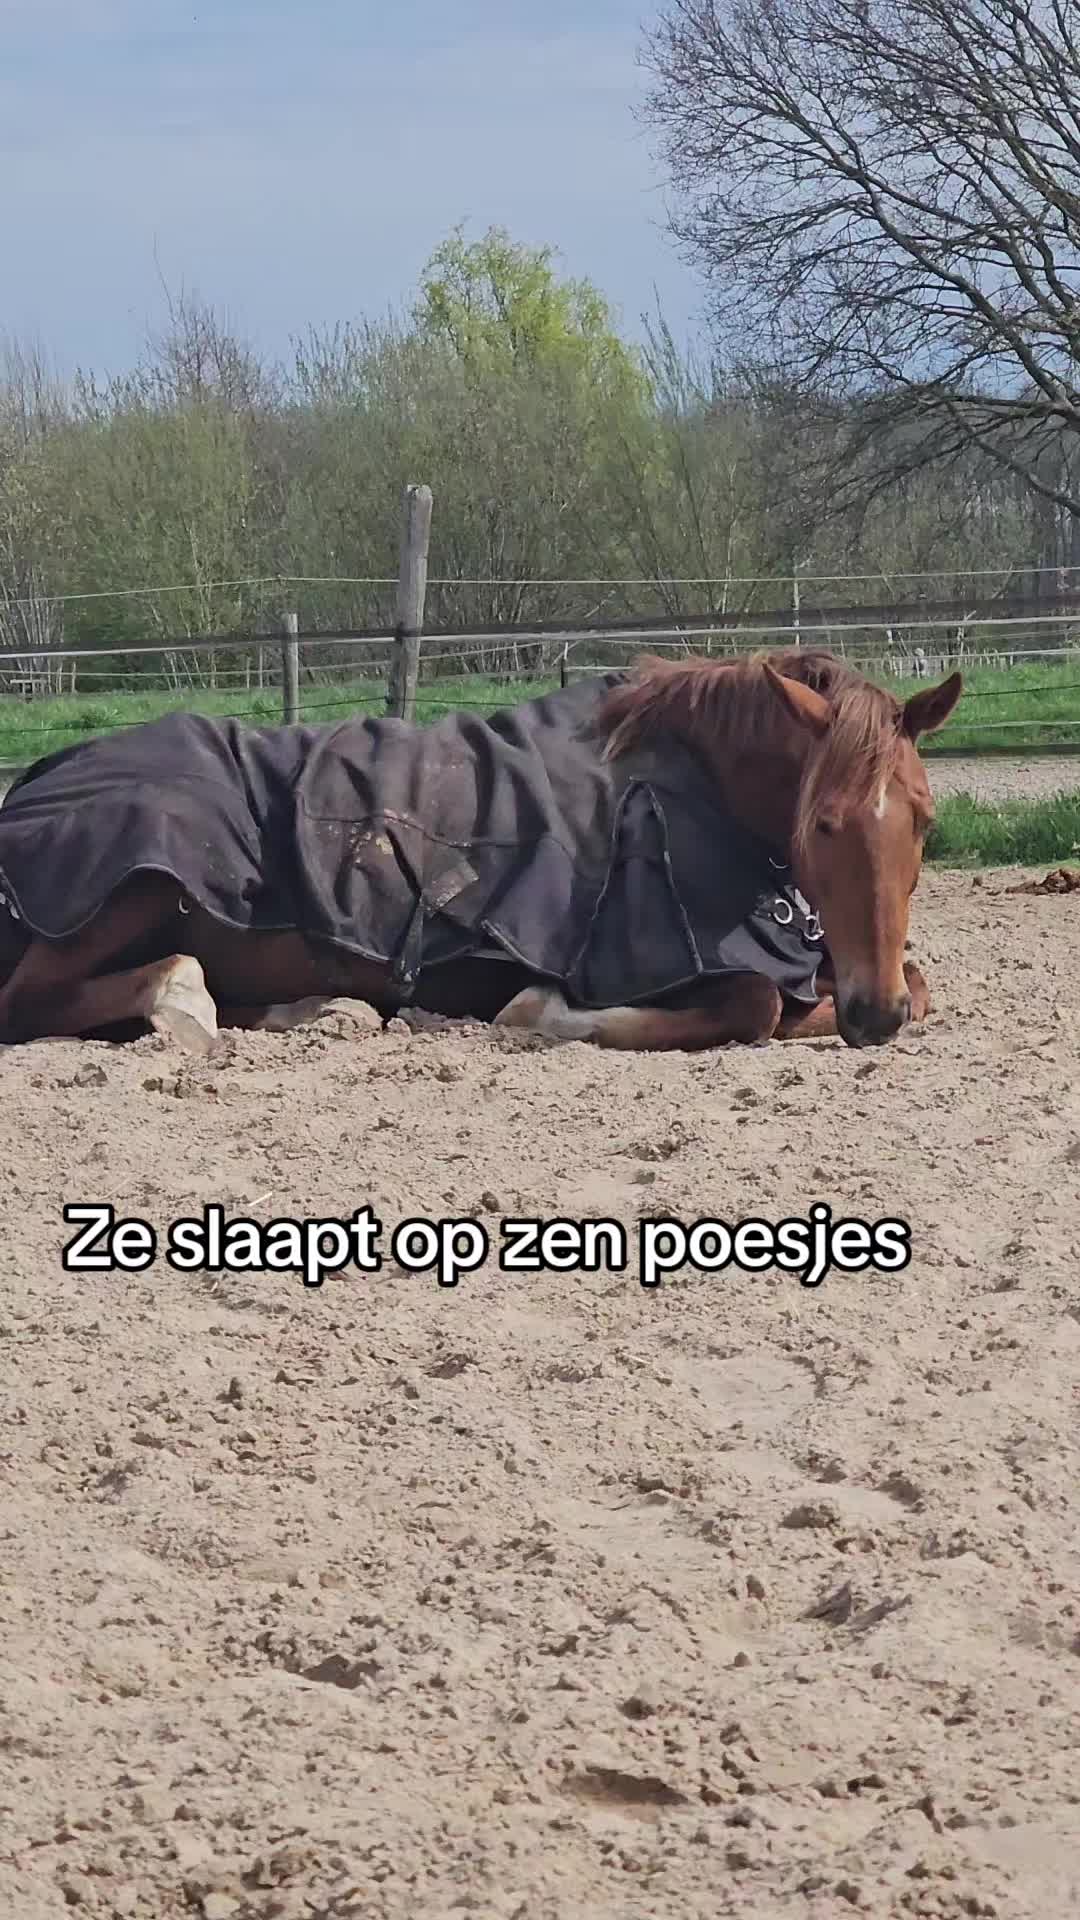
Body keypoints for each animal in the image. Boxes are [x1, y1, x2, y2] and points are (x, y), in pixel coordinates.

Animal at [0, 646, 961, 1057]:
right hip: (132, 882)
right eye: (824, 822)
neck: (689, 783)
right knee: (36, 1000)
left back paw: (320, 1010)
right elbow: (756, 1006)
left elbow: (916, 984)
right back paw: (183, 1002)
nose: (873, 1018)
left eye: (923, 820)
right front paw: (539, 1012)